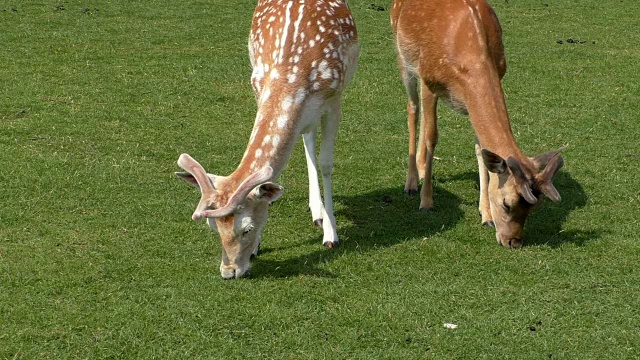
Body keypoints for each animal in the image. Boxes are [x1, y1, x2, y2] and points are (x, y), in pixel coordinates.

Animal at [175, 0, 360, 278]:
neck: (290, 74)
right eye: (213, 227)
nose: (229, 272)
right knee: (307, 136)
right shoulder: (257, 86)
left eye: (247, 228)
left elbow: (327, 164)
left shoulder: (334, 98)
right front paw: (257, 247)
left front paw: (331, 234)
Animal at [390, 0, 564, 248]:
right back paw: (412, 182)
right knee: (413, 109)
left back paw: (422, 169)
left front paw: (486, 215)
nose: (514, 242)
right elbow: (433, 136)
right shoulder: (428, 79)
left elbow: (481, 149)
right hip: (404, 57)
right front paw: (426, 202)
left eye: (534, 207)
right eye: (507, 203)